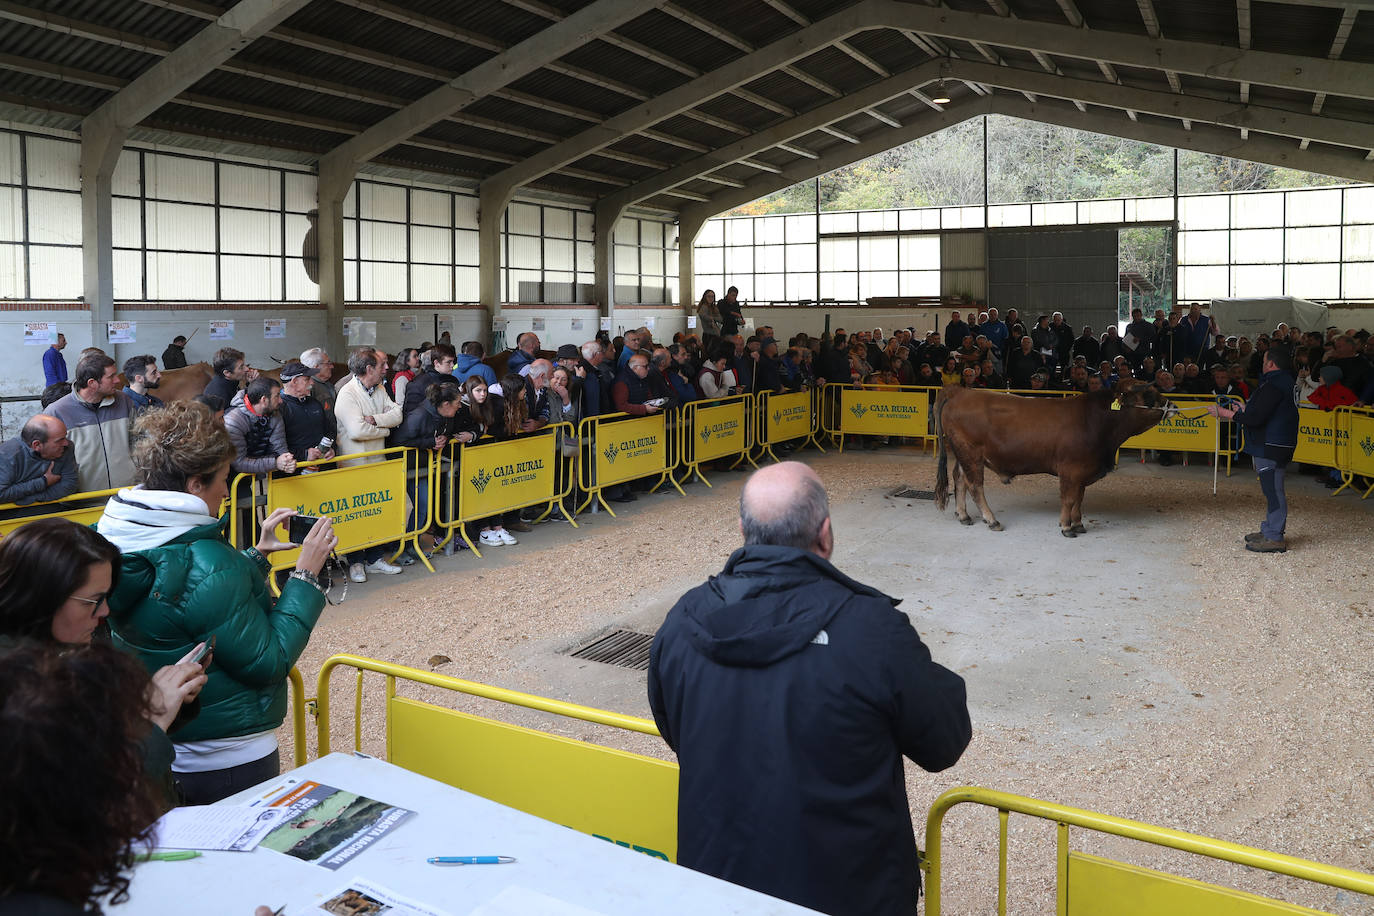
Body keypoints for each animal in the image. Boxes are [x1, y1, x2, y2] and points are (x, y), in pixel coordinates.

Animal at [928, 379, 1165, 538]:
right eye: (1148, 394)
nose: (1170, 405)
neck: (1095, 419)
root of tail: (959, 392)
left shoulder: (1082, 472)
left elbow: (1079, 498)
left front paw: (1078, 523)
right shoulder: (1071, 470)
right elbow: (1069, 498)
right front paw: (1067, 526)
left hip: (963, 454)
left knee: (960, 480)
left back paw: (963, 515)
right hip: (971, 453)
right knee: (975, 486)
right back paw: (991, 520)